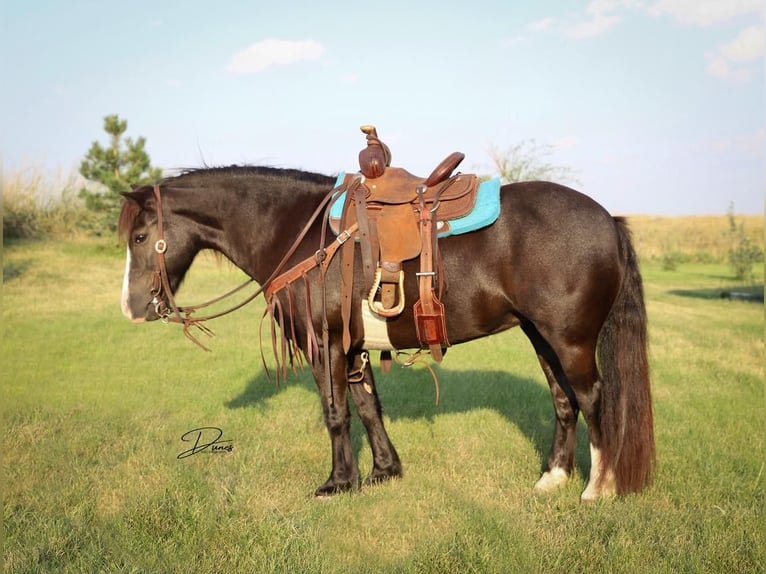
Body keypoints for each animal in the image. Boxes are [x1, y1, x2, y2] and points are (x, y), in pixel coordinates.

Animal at [118, 164, 656, 502]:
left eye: (141, 237)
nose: (132, 308)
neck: (303, 235)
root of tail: (608, 219)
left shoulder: (325, 346)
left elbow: (336, 414)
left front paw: (338, 483)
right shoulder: (353, 349)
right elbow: (368, 407)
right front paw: (382, 471)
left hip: (571, 339)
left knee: (592, 398)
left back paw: (597, 488)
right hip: (541, 335)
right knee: (564, 400)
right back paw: (554, 479)